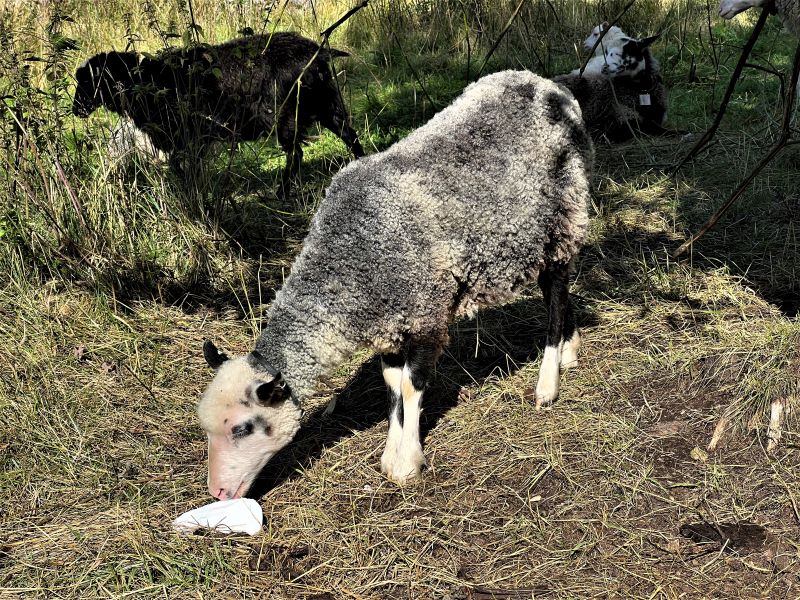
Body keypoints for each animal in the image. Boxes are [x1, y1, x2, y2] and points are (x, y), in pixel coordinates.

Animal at [73, 32, 364, 195]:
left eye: (89, 81)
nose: (76, 110)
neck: (149, 81)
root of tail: (318, 53)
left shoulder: (188, 136)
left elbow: (181, 166)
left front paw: (191, 192)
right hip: (327, 104)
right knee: (350, 135)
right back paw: (362, 165)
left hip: (283, 114)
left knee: (296, 153)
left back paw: (281, 193)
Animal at [196, 70, 592, 500]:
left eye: (242, 427)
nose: (218, 492)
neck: (347, 260)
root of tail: (548, 86)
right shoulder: (388, 325)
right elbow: (391, 385)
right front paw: (391, 452)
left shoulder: (426, 313)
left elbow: (410, 385)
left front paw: (407, 463)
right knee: (560, 291)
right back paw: (569, 352)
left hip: (563, 215)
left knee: (555, 293)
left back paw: (547, 383)